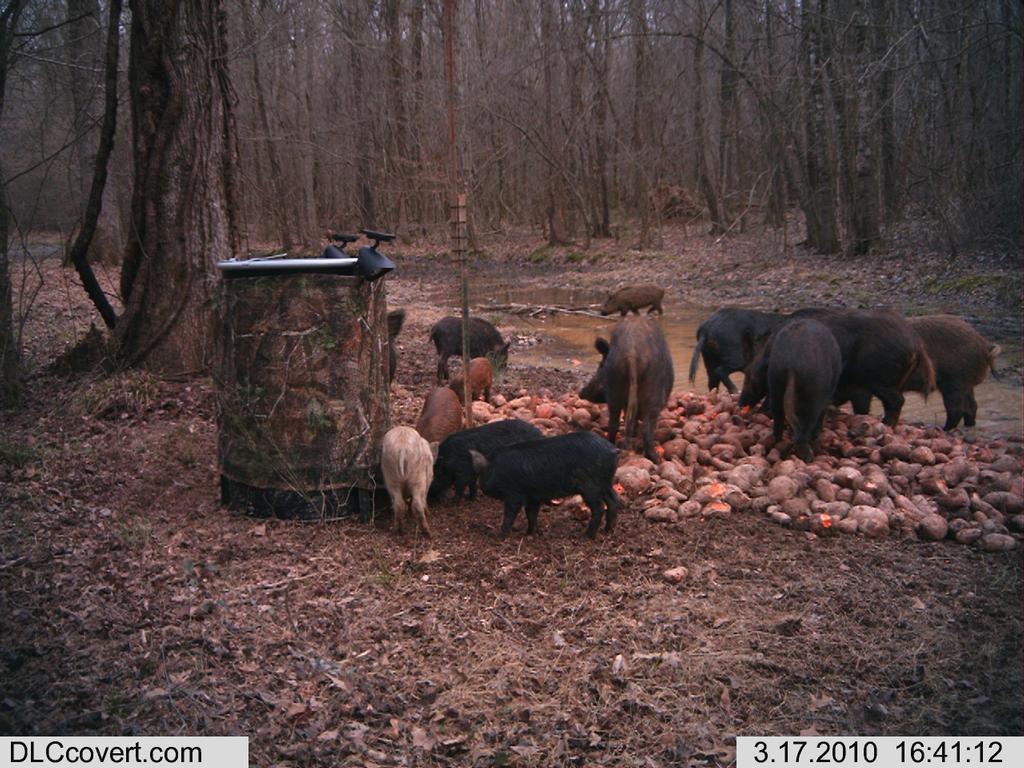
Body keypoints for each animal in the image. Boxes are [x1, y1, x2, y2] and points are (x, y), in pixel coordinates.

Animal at [469, 431, 620, 537]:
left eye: (482, 476)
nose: (483, 488)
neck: (496, 468)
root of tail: (613, 449)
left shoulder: (514, 493)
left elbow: (510, 514)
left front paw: (500, 536)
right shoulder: (533, 496)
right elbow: (531, 513)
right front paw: (530, 533)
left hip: (590, 487)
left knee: (599, 508)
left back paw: (586, 536)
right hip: (606, 483)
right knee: (613, 500)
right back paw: (608, 531)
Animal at [580, 316, 674, 463]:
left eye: (601, 365)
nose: (581, 392)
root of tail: (632, 351)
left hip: (615, 387)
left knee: (614, 423)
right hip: (653, 390)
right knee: (647, 428)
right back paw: (656, 458)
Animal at [739, 319, 841, 462]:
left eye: (749, 374)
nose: (740, 402)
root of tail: (791, 363)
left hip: (776, 385)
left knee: (778, 422)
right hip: (812, 399)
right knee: (803, 430)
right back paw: (809, 457)